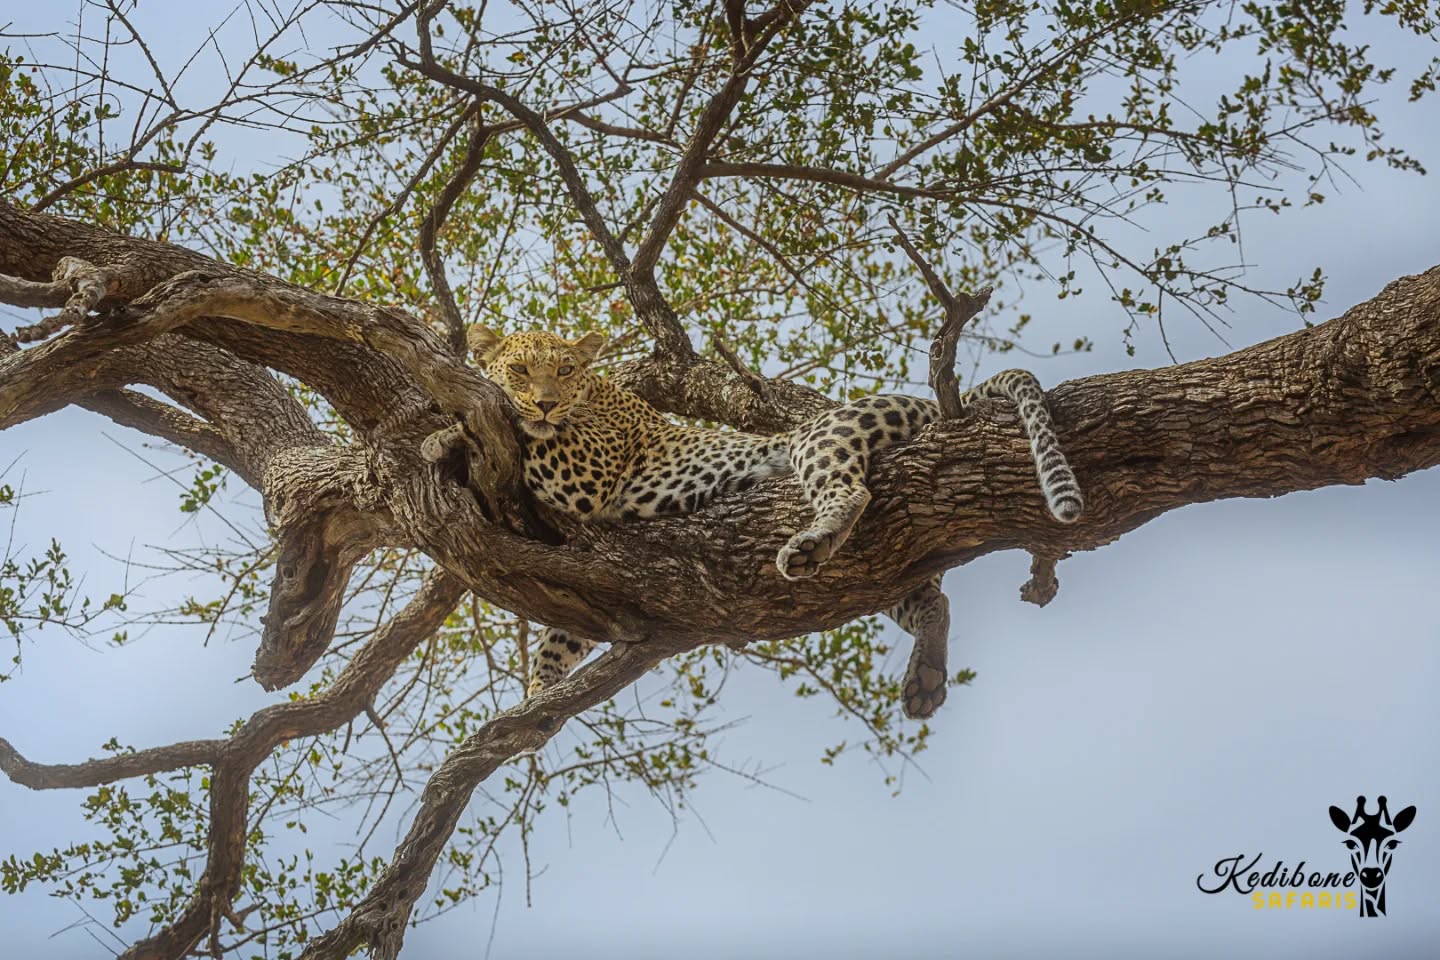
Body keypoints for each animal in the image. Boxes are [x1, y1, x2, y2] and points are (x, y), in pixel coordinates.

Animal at [462, 324, 1083, 720]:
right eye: (521, 368)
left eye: (564, 370)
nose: (545, 402)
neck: (596, 391)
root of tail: (926, 401)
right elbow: (558, 641)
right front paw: (536, 698)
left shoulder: (585, 470)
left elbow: (517, 429)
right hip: (890, 565)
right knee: (930, 598)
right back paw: (925, 676)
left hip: (821, 437)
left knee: (850, 489)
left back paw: (810, 542)